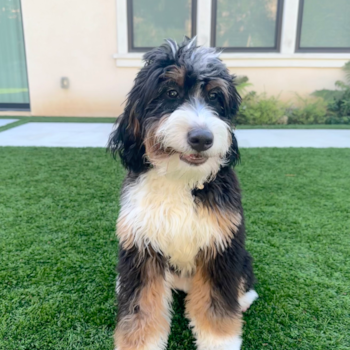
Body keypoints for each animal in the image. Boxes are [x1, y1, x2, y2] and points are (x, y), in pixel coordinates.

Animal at [108, 37, 258, 350]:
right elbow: (140, 305)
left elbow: (216, 304)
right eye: (171, 92)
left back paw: (244, 299)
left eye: (215, 98)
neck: (180, 178)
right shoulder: (141, 245)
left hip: (241, 254)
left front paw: (220, 341)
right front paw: (139, 342)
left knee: (242, 279)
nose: (202, 138)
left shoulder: (221, 245)